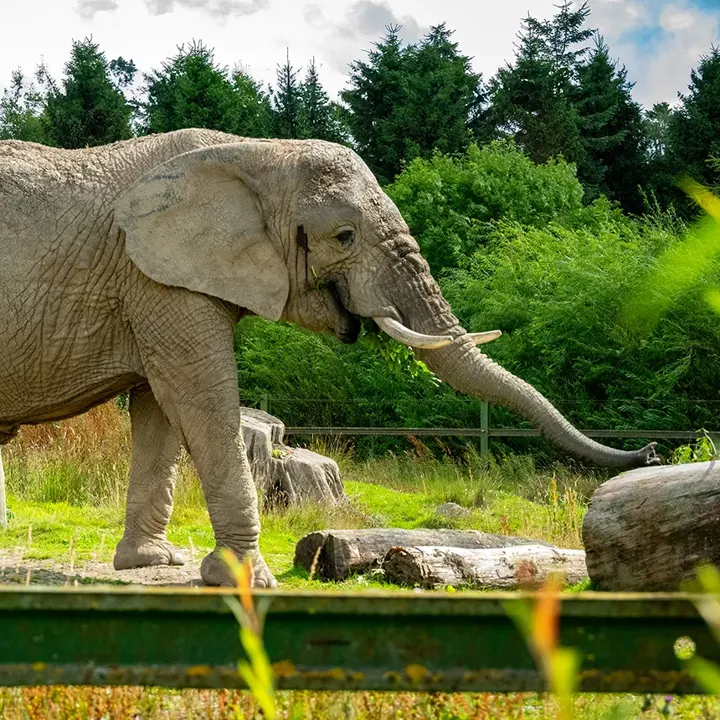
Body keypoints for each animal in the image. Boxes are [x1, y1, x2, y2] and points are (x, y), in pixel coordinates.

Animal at [0, 129, 658, 587]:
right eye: (344, 237)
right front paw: (245, 580)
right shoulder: (159, 280)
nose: (651, 451)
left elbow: (159, 411)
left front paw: (151, 563)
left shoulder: (161, 279)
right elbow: (199, 397)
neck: (257, 155)